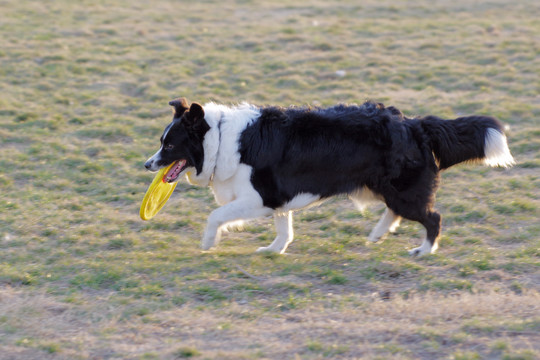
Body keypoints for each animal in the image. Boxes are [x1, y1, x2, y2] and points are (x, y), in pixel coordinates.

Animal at [144, 98, 516, 256]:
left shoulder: (259, 197)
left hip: (403, 192)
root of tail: (415, 124)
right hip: (386, 188)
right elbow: (285, 227)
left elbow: (216, 215)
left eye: (170, 144)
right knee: (396, 213)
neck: (220, 138)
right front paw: (275, 249)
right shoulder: (278, 198)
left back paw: (423, 251)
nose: (148, 164)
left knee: (432, 218)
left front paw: (209, 243)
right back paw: (377, 236)